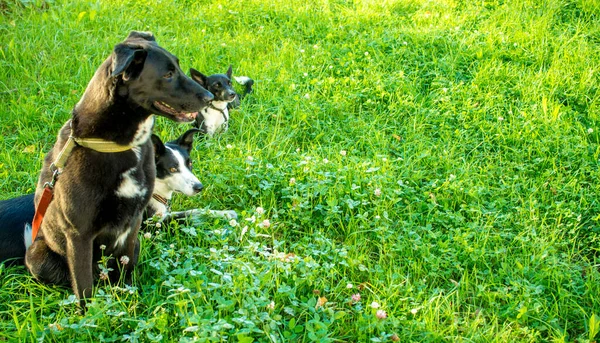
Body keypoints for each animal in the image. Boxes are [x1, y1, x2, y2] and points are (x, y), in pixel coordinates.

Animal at [25, 30, 213, 308]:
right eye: (168, 74)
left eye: (178, 67)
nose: (211, 98)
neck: (116, 145)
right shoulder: (79, 234)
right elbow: (84, 289)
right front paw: (91, 316)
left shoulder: (133, 225)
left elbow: (127, 271)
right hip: (38, 255)